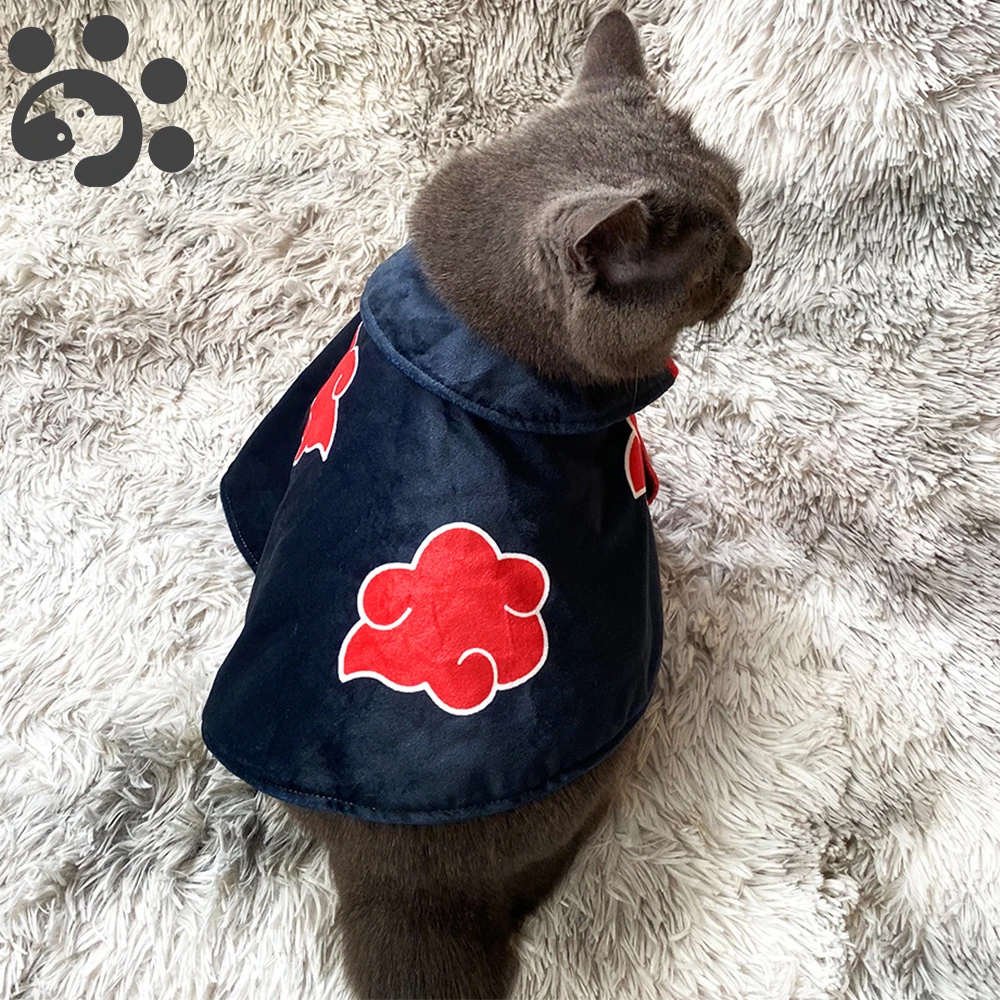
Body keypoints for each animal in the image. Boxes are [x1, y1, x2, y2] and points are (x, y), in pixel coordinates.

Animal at [216, 9, 751, 999]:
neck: (470, 324)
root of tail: (391, 878)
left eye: (738, 199)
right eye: (704, 268)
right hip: (601, 755)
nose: (745, 254)